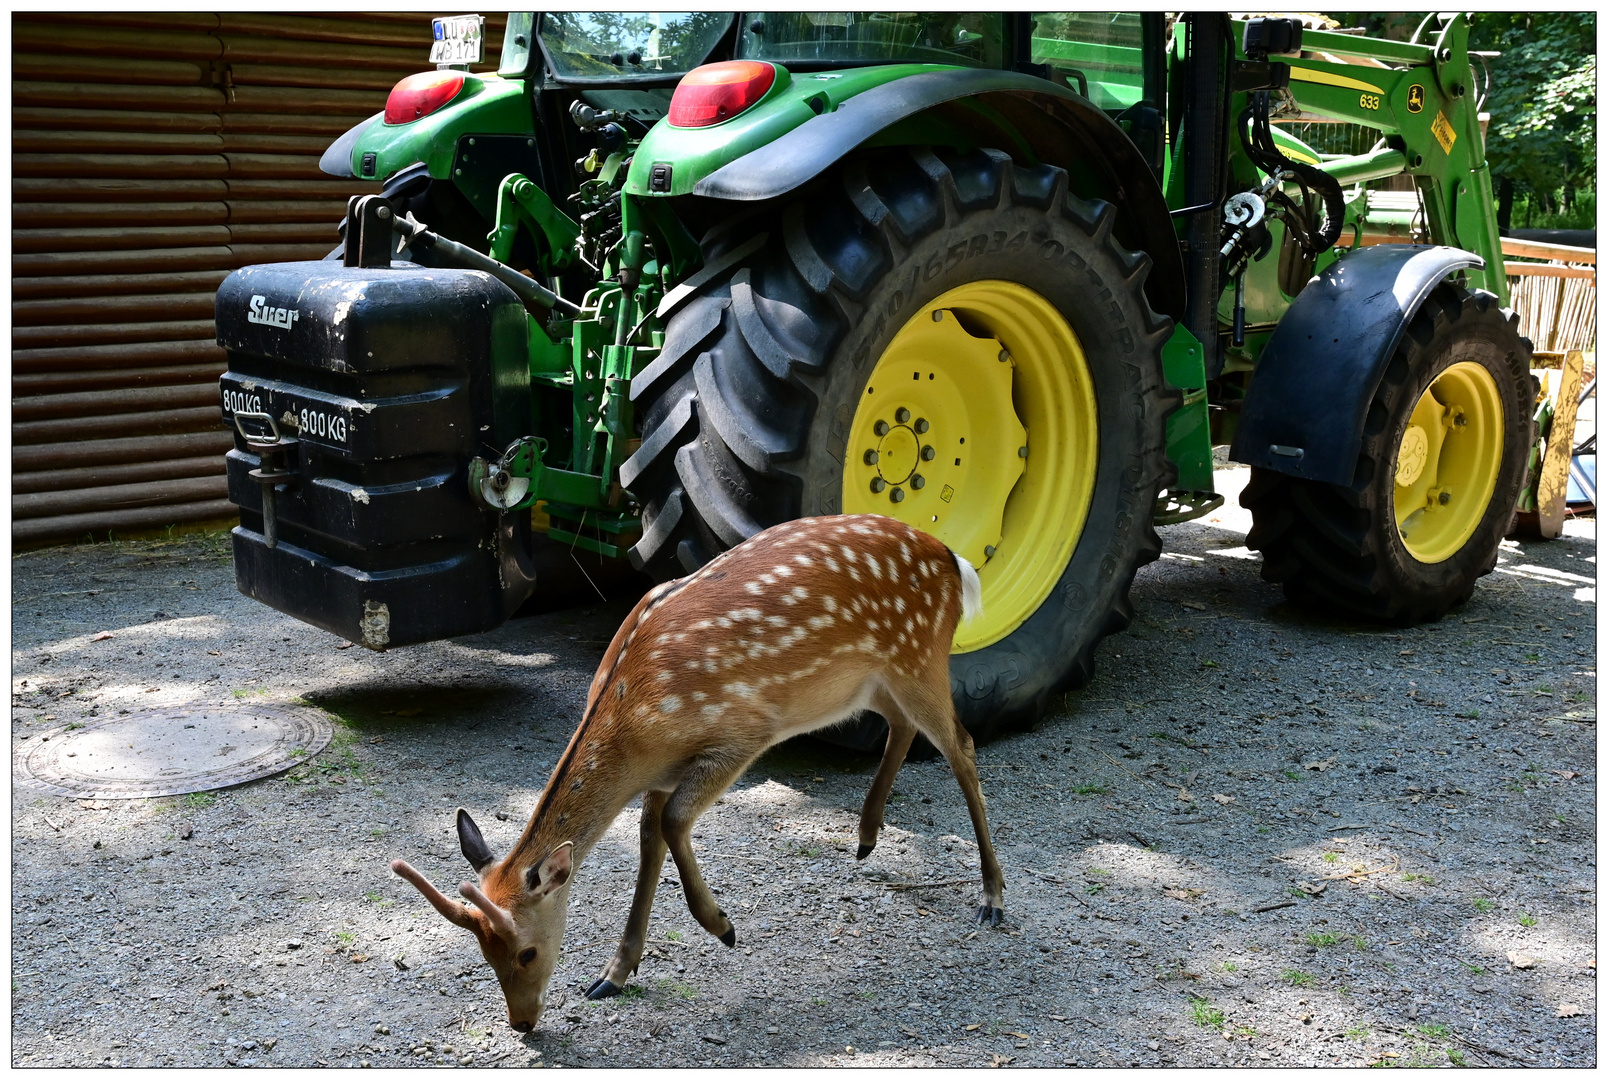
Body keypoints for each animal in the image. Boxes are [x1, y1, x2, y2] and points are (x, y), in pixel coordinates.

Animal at [389, 514, 1003, 1028]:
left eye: (526, 951)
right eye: (482, 952)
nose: (521, 1022)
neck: (638, 722)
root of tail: (954, 559)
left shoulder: (741, 736)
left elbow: (675, 823)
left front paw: (723, 926)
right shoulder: (660, 776)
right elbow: (649, 845)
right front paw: (612, 976)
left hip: (919, 656)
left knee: (963, 745)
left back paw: (992, 898)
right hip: (871, 680)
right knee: (903, 726)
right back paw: (867, 837)